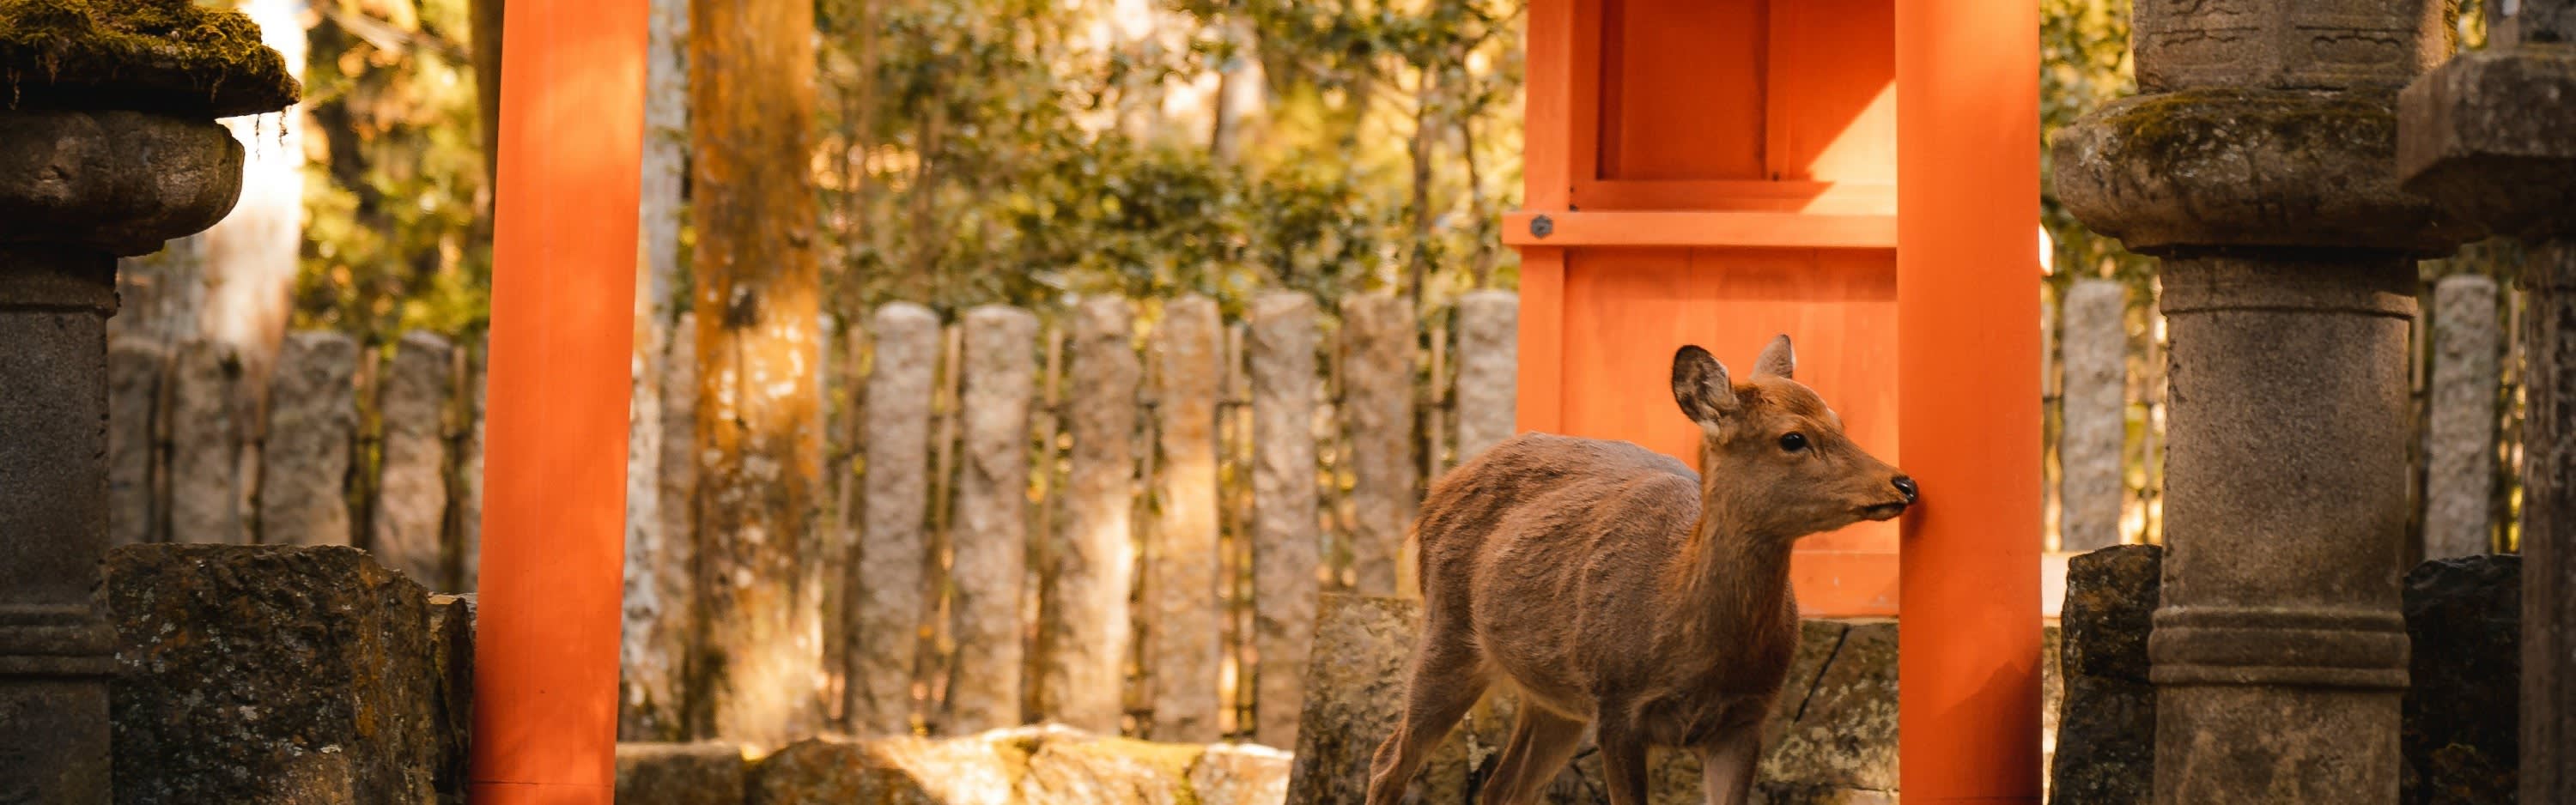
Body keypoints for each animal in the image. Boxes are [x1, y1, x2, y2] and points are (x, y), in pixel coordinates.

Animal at [1362, 336, 1915, 805]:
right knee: (1388, 760)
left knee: (1502, 787)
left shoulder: (1746, 719)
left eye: (1838, 420)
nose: (1903, 483)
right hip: (1448, 627)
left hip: (1554, 695)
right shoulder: (1618, 706)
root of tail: (1437, 490)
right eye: (1793, 438)